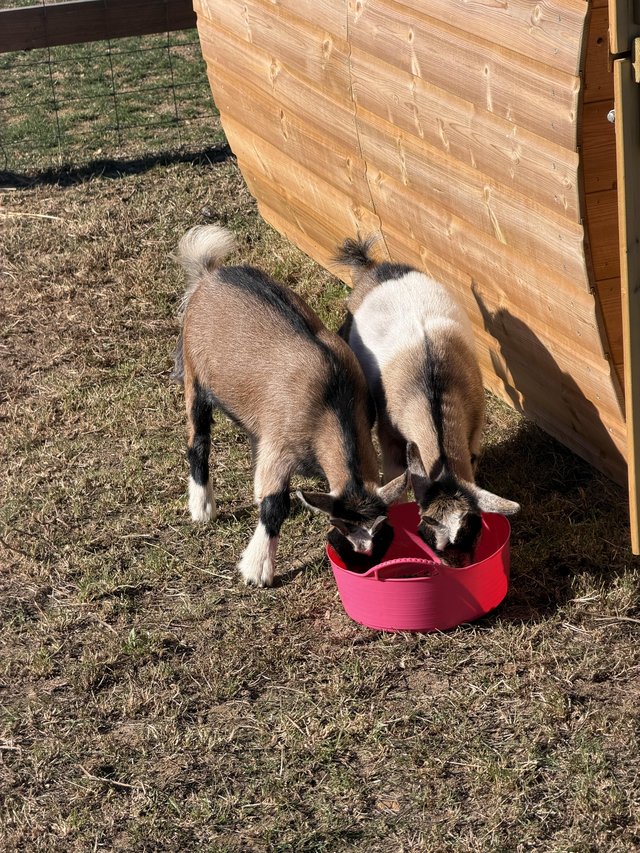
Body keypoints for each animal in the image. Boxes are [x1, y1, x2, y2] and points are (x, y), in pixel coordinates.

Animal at [173, 225, 407, 587]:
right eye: (341, 532)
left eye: (383, 537)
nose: (363, 568)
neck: (332, 401)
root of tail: (209, 274)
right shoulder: (280, 448)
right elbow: (274, 504)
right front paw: (257, 569)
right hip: (194, 376)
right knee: (198, 442)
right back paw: (202, 507)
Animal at [335, 236, 519, 567]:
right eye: (427, 534)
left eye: (474, 530)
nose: (458, 570)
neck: (432, 391)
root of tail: (373, 268)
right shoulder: (391, 437)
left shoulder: (473, 434)